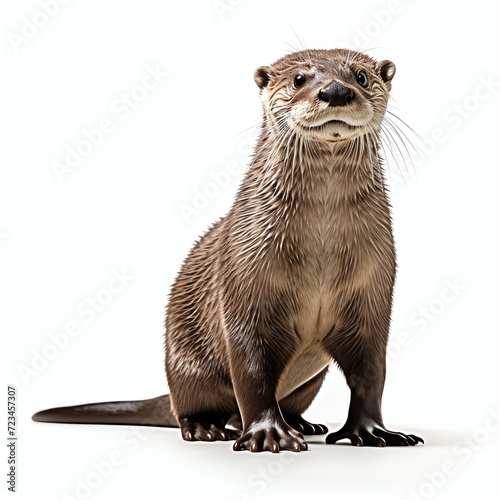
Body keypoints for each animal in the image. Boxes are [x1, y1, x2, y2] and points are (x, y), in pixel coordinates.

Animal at [32, 48, 422, 452]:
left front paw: (373, 431)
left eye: (361, 77)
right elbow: (251, 372)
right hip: (187, 366)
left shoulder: (372, 294)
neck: (322, 257)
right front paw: (269, 433)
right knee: (197, 408)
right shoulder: (244, 283)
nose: (335, 90)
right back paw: (207, 427)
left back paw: (304, 423)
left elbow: (370, 374)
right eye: (299, 79)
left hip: (312, 381)